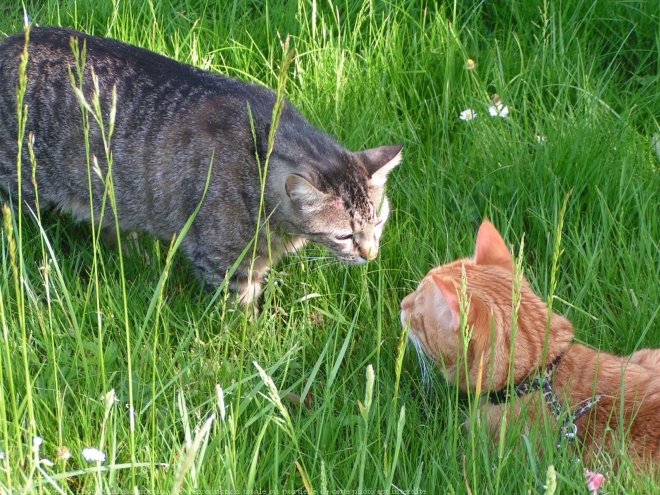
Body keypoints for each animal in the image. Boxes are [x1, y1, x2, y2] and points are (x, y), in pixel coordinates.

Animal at [0, 28, 402, 306]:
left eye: (380, 221)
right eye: (345, 236)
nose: (371, 254)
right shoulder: (225, 261)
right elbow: (241, 318)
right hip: (18, 183)